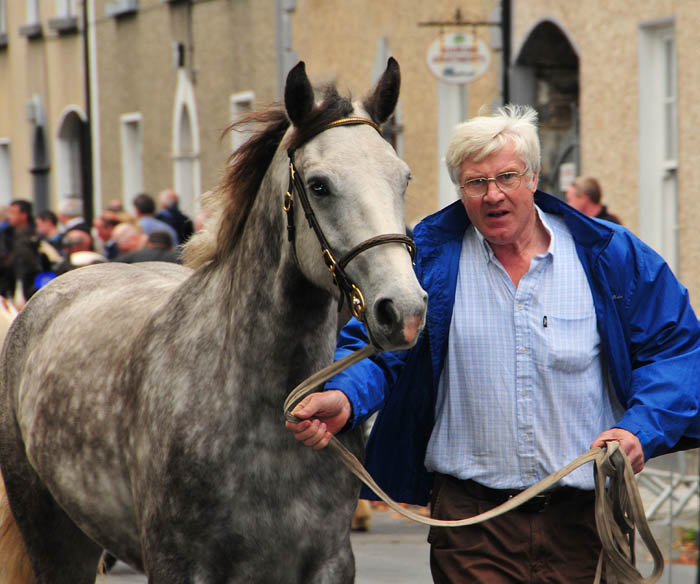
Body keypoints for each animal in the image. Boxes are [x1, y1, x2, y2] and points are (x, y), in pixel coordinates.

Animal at [0, 60, 426, 584]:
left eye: (403, 178)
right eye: (320, 185)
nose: (404, 311)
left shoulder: (328, 563)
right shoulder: (178, 564)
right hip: (52, 536)